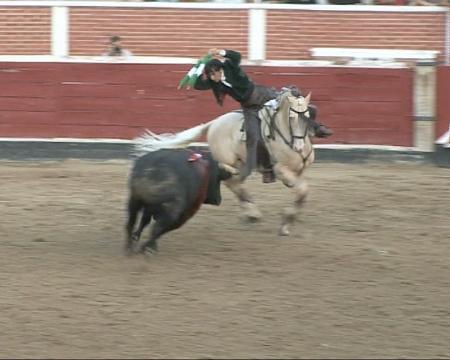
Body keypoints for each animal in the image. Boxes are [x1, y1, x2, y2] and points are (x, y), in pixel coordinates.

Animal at [135, 88, 314, 236]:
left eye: (307, 116)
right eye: (292, 117)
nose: (299, 147)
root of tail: (214, 123)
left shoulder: (299, 172)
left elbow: (303, 192)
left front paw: (287, 223)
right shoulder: (281, 170)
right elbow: (302, 191)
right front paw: (285, 224)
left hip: (242, 163)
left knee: (235, 183)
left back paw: (251, 213)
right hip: (231, 160)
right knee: (231, 179)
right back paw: (252, 213)